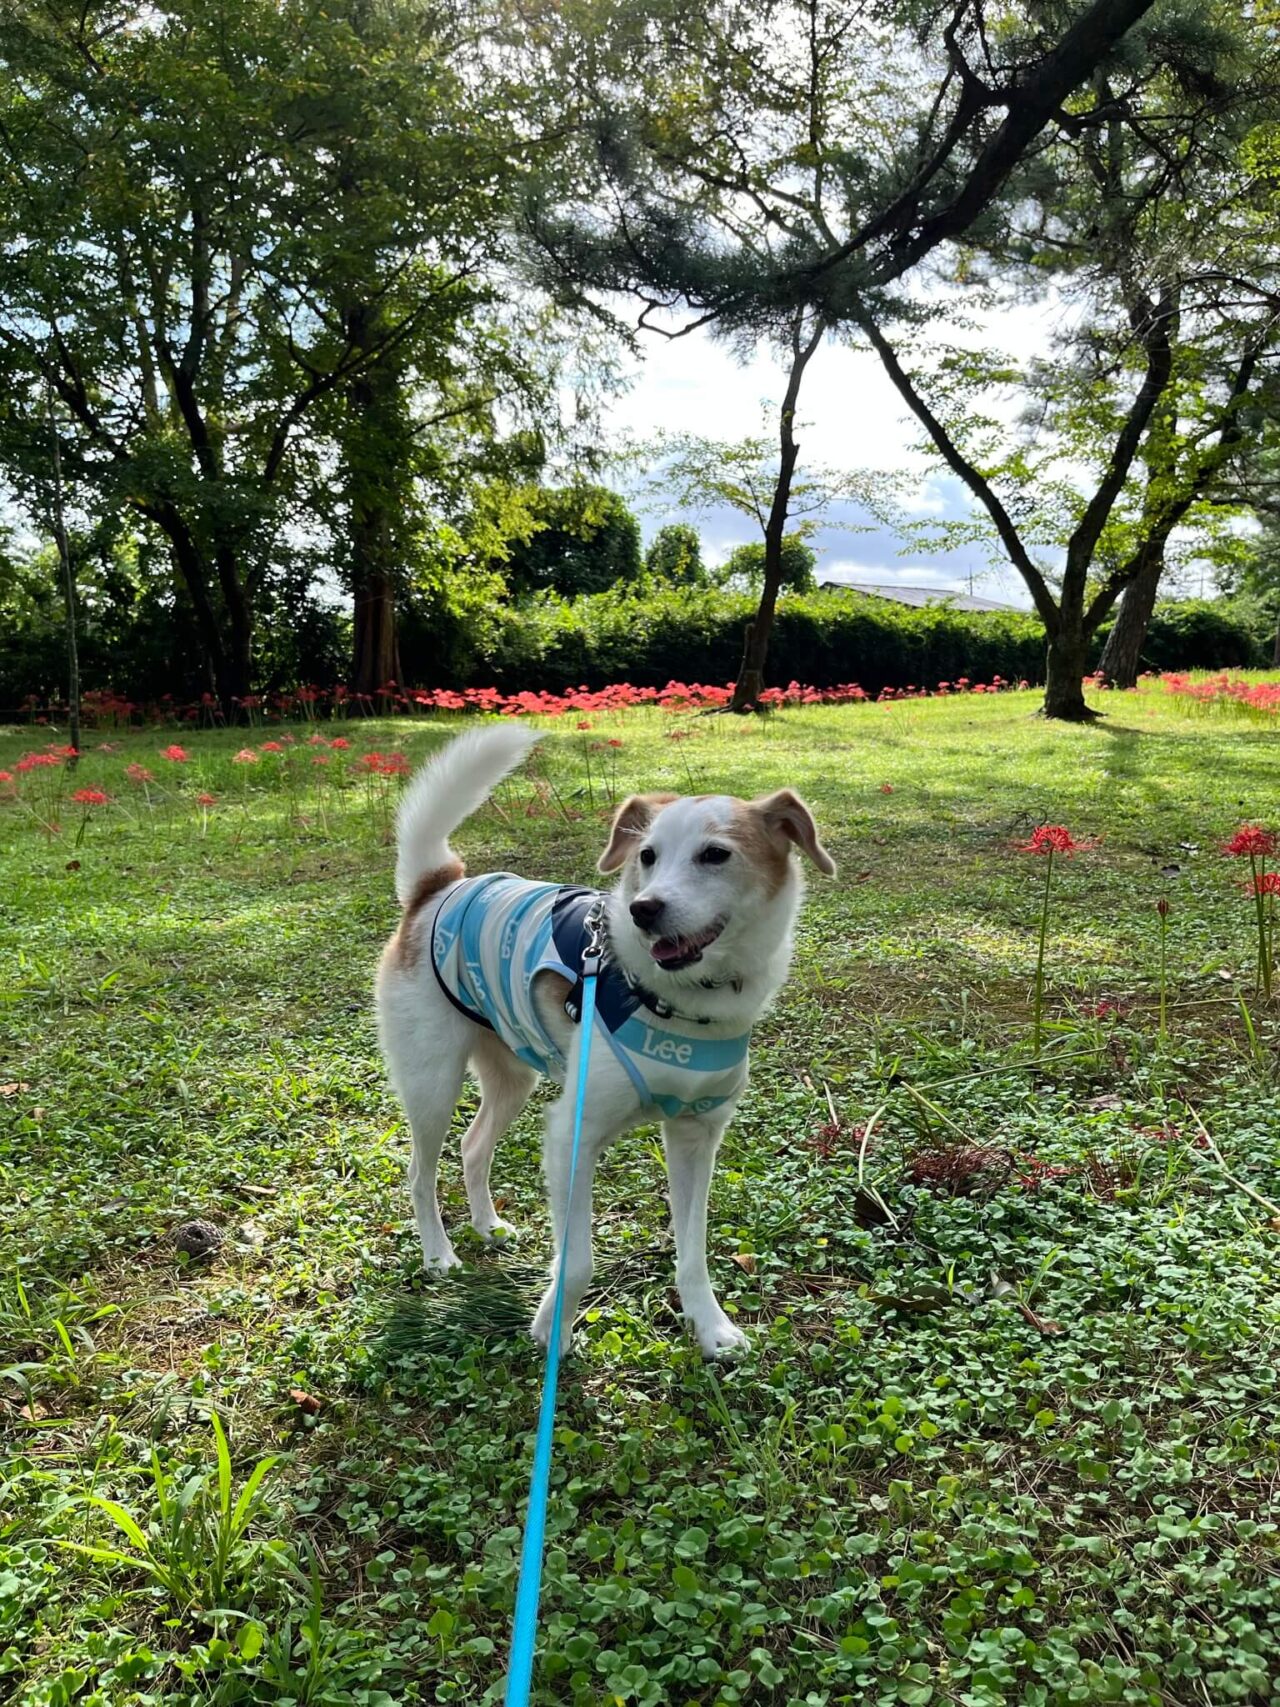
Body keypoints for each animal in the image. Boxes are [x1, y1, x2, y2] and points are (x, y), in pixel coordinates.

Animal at [375, 723, 836, 1358]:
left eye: (715, 855)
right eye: (647, 856)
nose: (644, 909)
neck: (678, 1001)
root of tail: (437, 887)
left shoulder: (696, 1136)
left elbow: (693, 1251)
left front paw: (710, 1326)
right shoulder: (574, 1135)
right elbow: (577, 1263)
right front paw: (553, 1330)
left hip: (512, 1076)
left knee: (472, 1146)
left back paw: (486, 1226)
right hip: (432, 1083)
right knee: (420, 1173)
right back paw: (439, 1254)